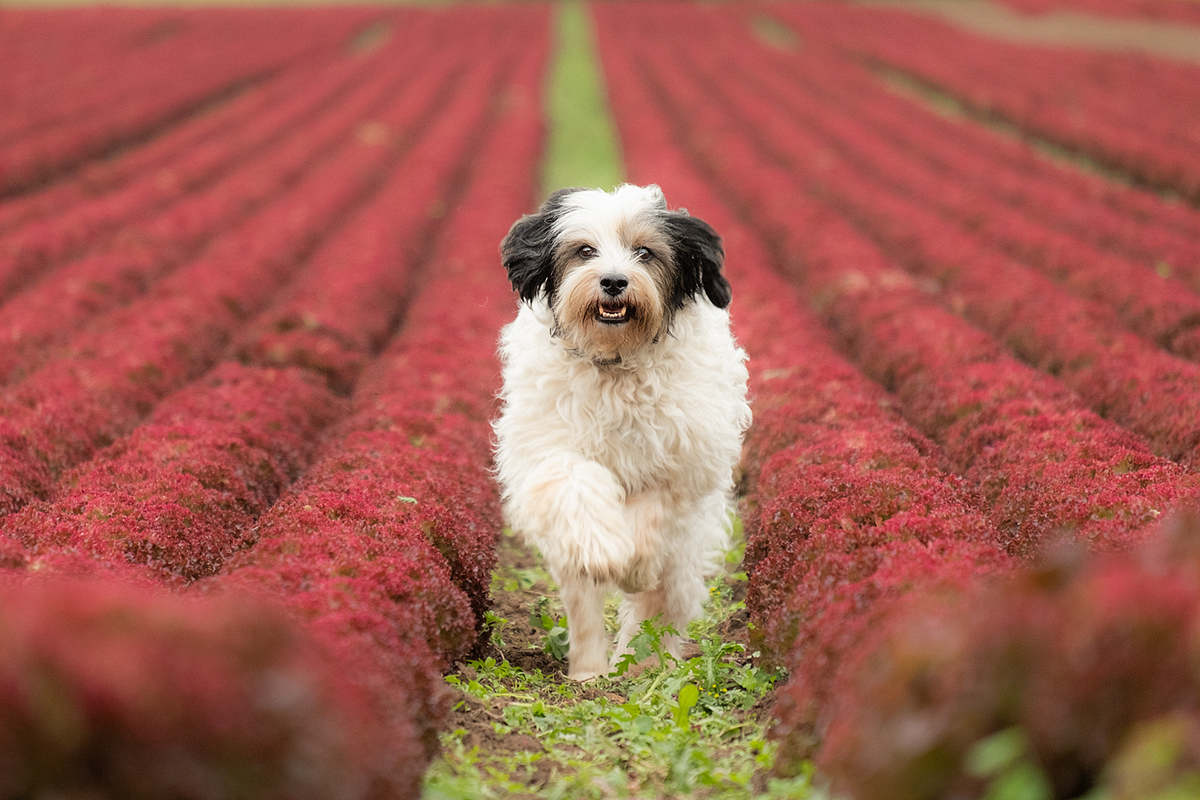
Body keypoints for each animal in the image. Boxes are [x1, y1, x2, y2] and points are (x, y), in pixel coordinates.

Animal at [492, 184, 744, 681]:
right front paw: (604, 551)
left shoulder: (682, 457)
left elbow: (653, 513)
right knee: (584, 608)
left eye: (645, 252)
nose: (613, 282)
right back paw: (590, 673)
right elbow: (577, 482)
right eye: (584, 251)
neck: (616, 362)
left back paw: (640, 667)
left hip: (684, 559)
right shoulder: (550, 447)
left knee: (660, 607)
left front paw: (633, 567)